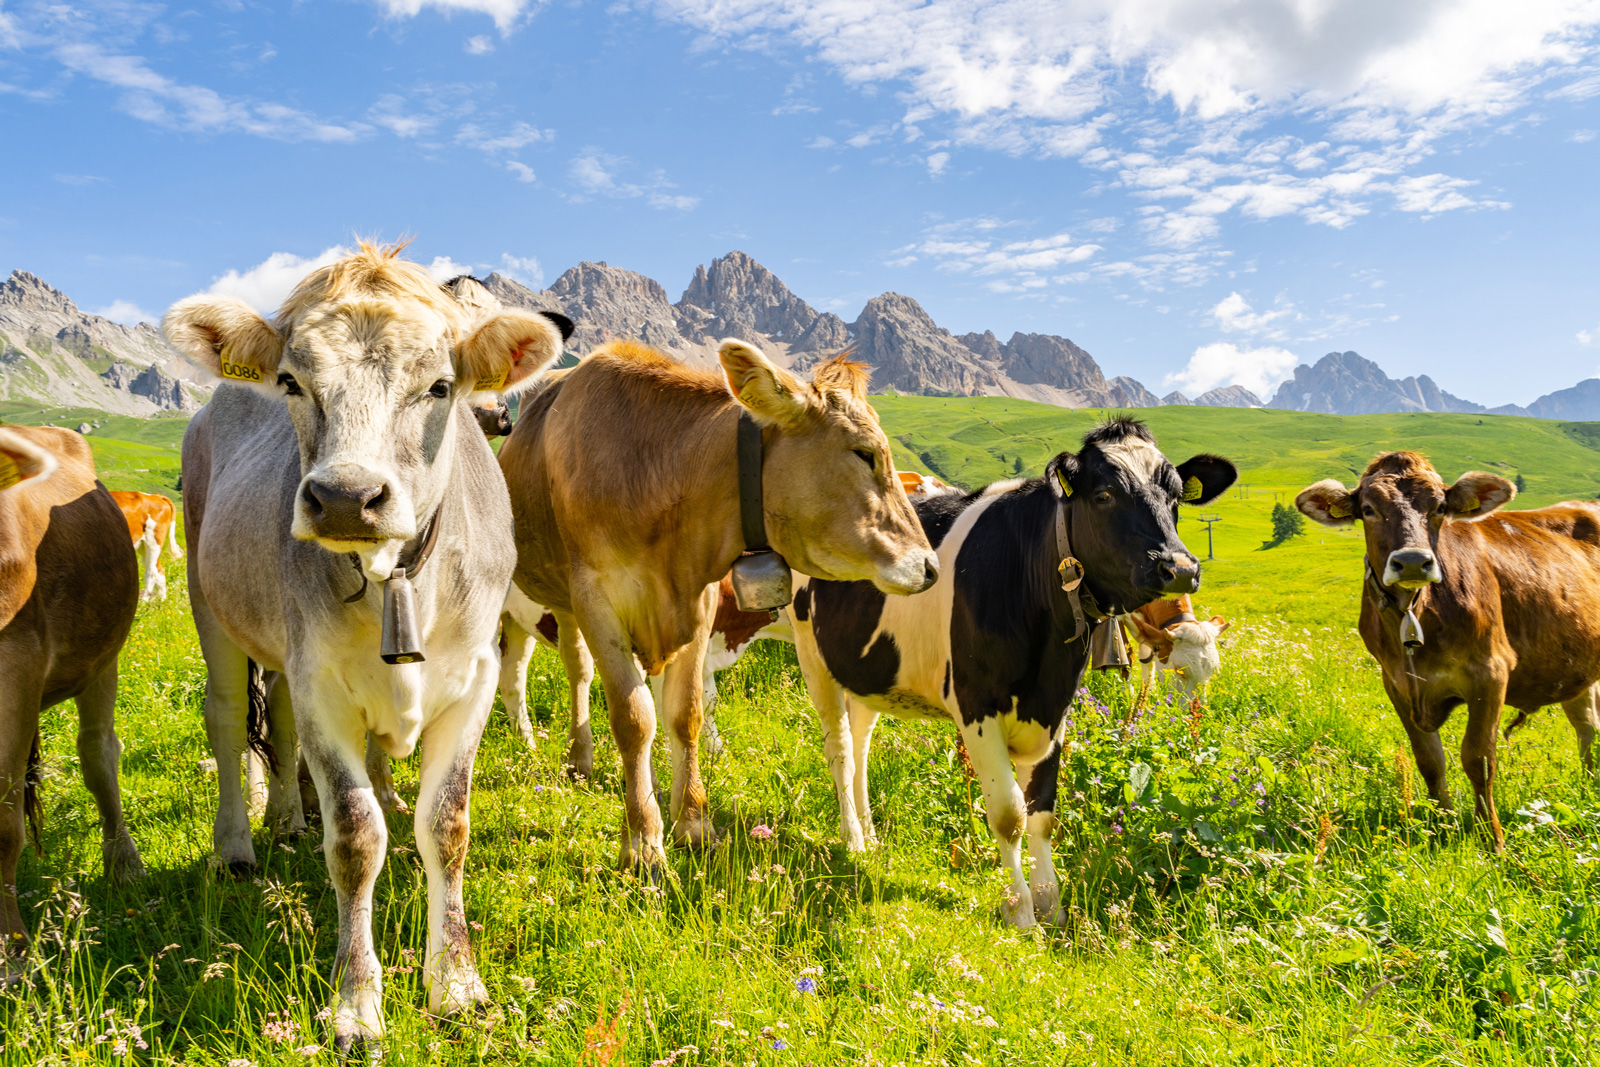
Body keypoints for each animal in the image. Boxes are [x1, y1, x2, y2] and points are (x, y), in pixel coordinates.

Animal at [1, 425, 144, 981]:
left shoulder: (14, 670)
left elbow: (4, 828)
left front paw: (13, 954)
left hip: (103, 661)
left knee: (99, 753)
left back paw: (124, 863)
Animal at [163, 242, 566, 1049]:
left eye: (440, 385)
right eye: (292, 381)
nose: (346, 497)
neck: (395, 580)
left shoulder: (473, 680)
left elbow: (446, 824)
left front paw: (457, 984)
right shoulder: (324, 689)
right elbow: (355, 837)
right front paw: (356, 1003)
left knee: (277, 722)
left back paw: (287, 818)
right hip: (208, 603)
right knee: (228, 719)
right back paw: (238, 845)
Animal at [500, 338, 938, 874]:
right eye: (865, 453)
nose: (931, 566)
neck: (655, 468)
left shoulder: (698, 601)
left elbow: (684, 713)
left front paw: (692, 823)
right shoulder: (597, 598)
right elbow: (634, 718)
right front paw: (644, 841)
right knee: (548, 671)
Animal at [788, 418, 1237, 927]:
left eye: (1176, 497)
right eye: (1104, 495)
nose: (1179, 568)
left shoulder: (1054, 710)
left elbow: (1042, 814)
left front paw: (1052, 906)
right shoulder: (976, 707)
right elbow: (1009, 815)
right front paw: (1021, 913)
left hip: (869, 670)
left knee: (862, 742)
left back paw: (870, 833)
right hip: (812, 654)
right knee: (841, 750)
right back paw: (854, 841)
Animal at [1297, 452, 1600, 851]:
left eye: (1440, 507)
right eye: (1368, 509)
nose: (1412, 561)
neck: (1415, 612)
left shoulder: (1491, 673)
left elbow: (1478, 758)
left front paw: (1491, 839)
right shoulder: (1396, 683)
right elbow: (1429, 760)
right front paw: (1443, 827)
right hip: (1576, 668)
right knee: (1587, 727)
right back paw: (1589, 787)